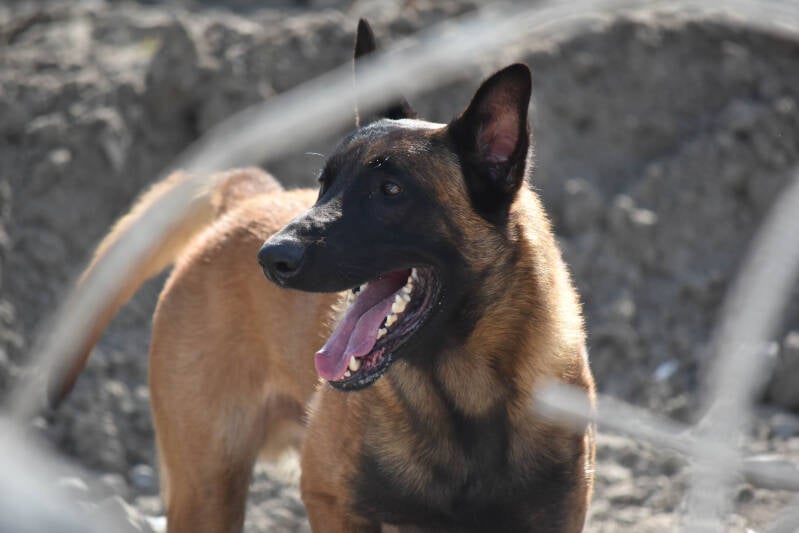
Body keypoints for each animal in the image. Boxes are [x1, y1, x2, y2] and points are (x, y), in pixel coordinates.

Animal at [51, 19, 595, 533]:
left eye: (391, 189)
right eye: (324, 184)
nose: (272, 257)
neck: (464, 399)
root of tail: (247, 198)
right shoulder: (332, 500)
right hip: (206, 492)